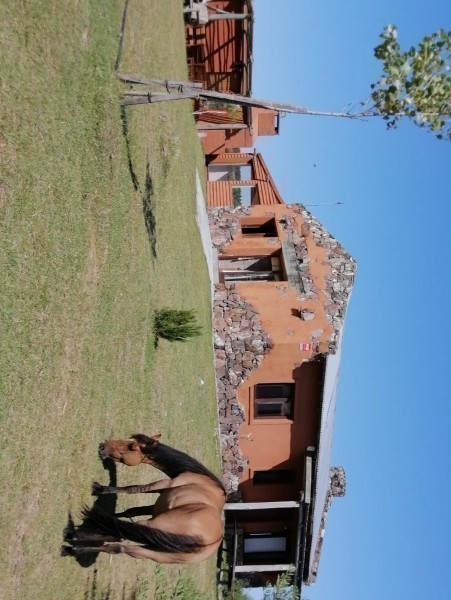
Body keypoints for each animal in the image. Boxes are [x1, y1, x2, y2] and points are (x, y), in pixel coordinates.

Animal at [61, 432, 226, 564]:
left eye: (132, 446)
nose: (103, 446)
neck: (198, 477)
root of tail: (208, 542)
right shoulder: (158, 502)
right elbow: (131, 511)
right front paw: (105, 518)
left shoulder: (163, 484)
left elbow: (132, 489)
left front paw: (99, 489)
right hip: (151, 551)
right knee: (119, 546)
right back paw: (74, 547)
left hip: (151, 527)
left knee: (118, 536)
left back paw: (74, 537)